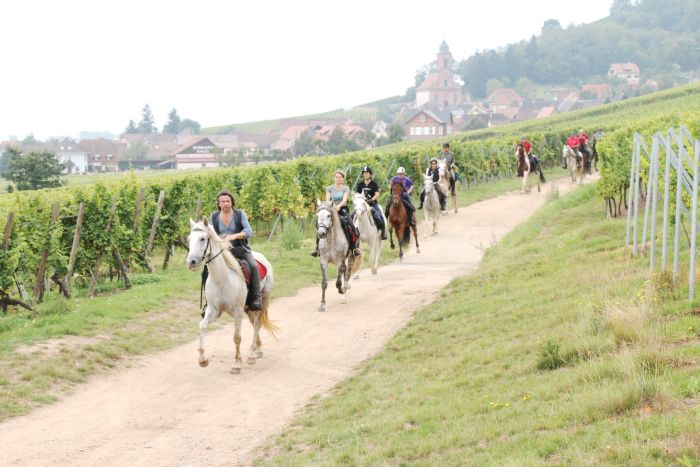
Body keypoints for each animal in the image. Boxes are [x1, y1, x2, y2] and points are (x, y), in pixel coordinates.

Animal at [187, 220, 278, 376]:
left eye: (202, 239)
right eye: (189, 239)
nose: (191, 262)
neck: (222, 279)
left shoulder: (237, 312)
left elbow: (237, 338)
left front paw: (236, 364)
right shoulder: (213, 311)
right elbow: (202, 326)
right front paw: (203, 360)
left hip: (264, 300)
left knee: (257, 323)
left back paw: (251, 355)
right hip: (247, 308)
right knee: (254, 323)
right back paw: (257, 349)